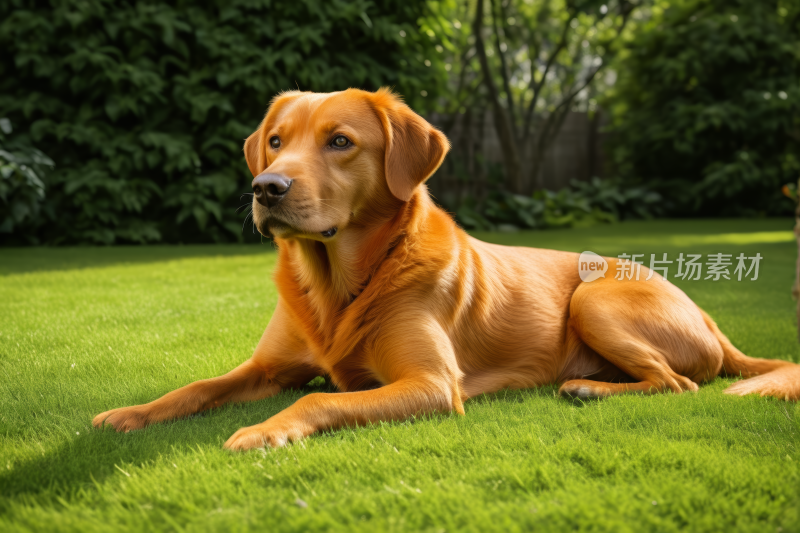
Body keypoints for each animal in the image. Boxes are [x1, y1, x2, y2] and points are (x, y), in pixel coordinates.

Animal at [92, 87, 800, 448]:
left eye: (340, 142)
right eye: (275, 140)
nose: (266, 188)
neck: (338, 283)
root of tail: (713, 321)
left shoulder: (432, 384)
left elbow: (320, 400)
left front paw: (267, 430)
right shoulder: (267, 367)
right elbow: (197, 388)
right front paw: (130, 413)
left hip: (594, 297)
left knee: (678, 384)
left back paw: (589, 389)